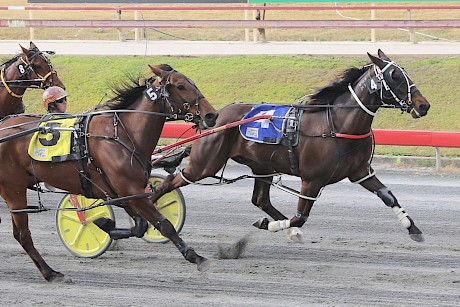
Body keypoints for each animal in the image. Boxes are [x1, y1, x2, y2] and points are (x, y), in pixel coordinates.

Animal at [0, 63, 217, 282]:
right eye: (181, 86)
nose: (211, 115)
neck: (121, 135)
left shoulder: (125, 194)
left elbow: (140, 226)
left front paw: (105, 224)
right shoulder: (130, 191)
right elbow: (164, 225)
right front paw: (197, 257)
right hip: (14, 189)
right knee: (23, 235)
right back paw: (50, 273)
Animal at [149, 51, 430, 245]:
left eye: (404, 73)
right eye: (395, 76)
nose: (423, 105)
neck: (337, 124)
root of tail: (211, 117)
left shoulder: (360, 171)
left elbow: (388, 196)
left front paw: (413, 228)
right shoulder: (311, 180)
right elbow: (300, 217)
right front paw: (271, 225)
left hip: (261, 166)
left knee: (260, 199)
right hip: (204, 164)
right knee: (168, 183)